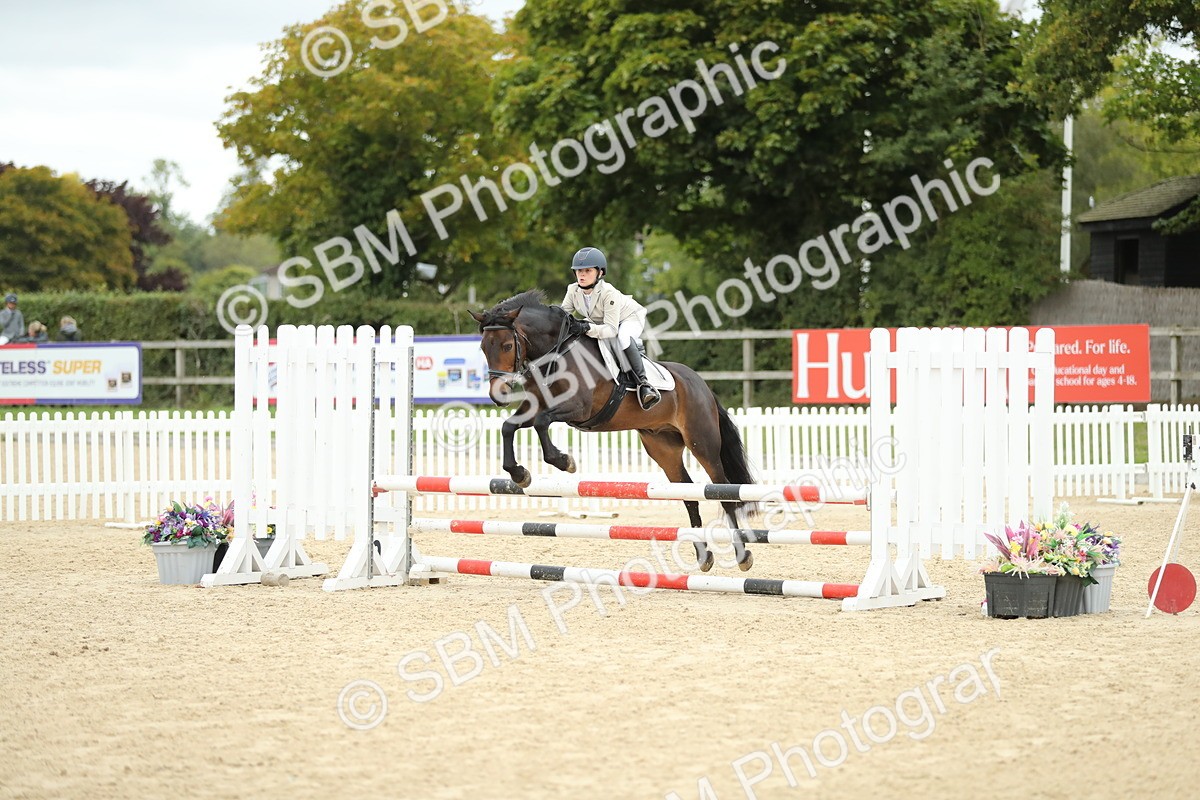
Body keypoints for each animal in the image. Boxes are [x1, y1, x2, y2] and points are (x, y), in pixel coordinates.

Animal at [469, 289, 757, 572]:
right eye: (483, 347)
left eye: (507, 345)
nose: (497, 396)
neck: (556, 353)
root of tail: (701, 384)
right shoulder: (536, 406)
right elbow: (509, 426)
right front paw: (520, 474)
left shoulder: (578, 409)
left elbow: (541, 423)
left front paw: (564, 461)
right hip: (663, 448)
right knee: (688, 495)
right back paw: (703, 556)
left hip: (702, 443)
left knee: (723, 493)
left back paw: (742, 556)